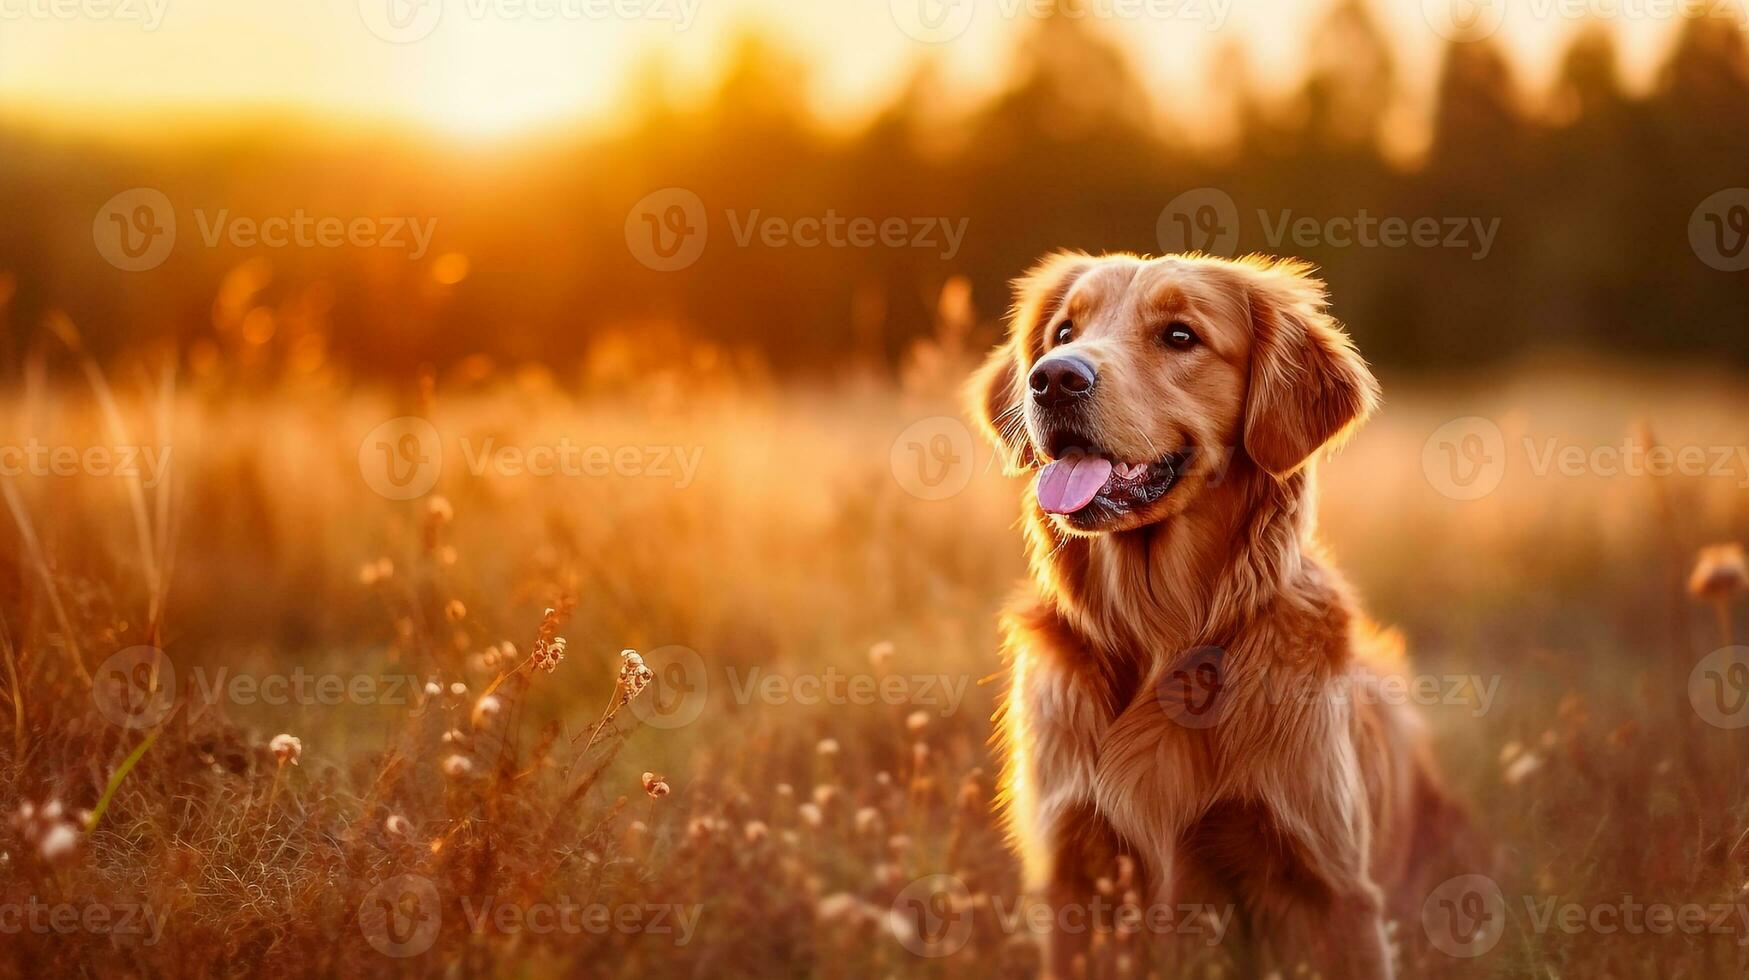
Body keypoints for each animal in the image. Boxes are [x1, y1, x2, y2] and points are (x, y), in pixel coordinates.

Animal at [965, 248, 1469, 973]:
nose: (1053, 379)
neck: (1162, 633)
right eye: (1063, 332)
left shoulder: (1329, 885)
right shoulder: (1075, 875)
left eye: (1180, 335)